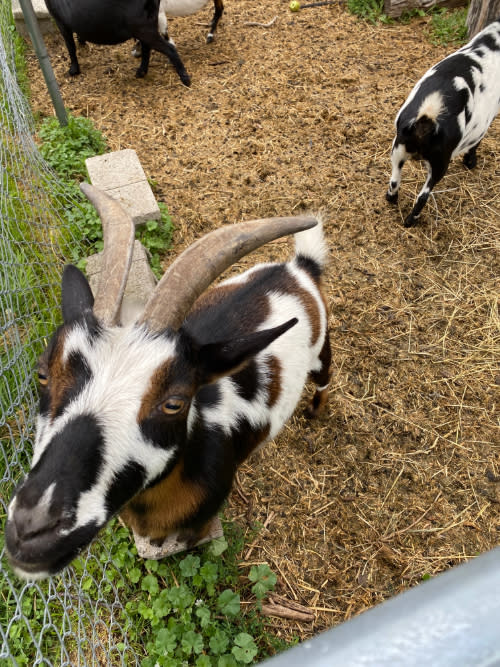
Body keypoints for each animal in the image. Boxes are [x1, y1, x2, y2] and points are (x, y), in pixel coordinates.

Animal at [5, 184, 331, 580]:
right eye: (42, 372)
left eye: (174, 402)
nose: (31, 529)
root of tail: (299, 268)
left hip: (321, 350)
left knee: (325, 377)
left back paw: (316, 410)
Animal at [44, 0, 192, 86]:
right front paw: (81, 41)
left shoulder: (60, 21)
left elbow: (70, 46)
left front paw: (73, 70)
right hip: (146, 24)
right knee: (147, 47)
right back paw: (141, 72)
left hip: (142, 26)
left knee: (169, 48)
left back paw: (186, 80)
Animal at [386, 19, 500, 227]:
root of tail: (429, 115)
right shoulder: (486, 121)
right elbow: (476, 143)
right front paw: (470, 163)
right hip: (440, 162)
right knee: (423, 196)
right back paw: (410, 221)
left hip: (398, 148)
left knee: (394, 181)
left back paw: (391, 199)